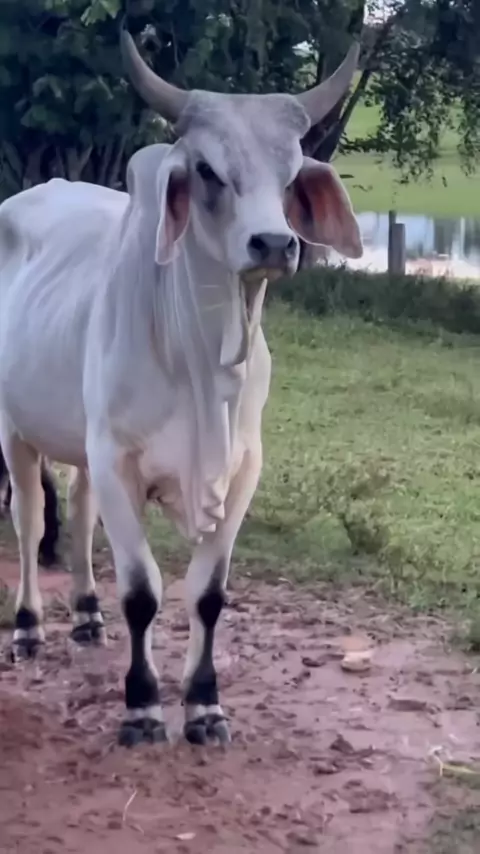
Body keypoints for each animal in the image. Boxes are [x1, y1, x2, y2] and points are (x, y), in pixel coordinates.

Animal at [0, 23, 362, 747]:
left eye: (289, 175)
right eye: (208, 171)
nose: (274, 244)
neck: (203, 362)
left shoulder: (241, 469)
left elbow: (207, 594)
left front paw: (204, 705)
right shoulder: (118, 459)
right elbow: (142, 591)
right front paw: (142, 707)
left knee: (77, 510)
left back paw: (86, 614)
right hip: (11, 426)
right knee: (28, 518)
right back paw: (28, 628)